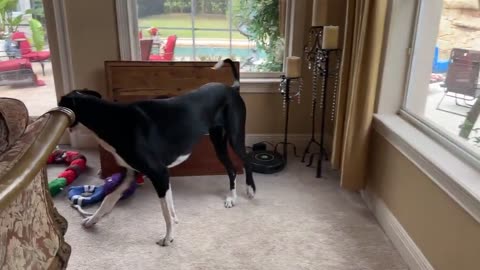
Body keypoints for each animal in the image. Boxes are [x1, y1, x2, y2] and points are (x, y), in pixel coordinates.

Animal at [57, 58, 255, 246]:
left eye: (60, 104)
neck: (111, 119)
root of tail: (232, 88)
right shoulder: (133, 173)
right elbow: (110, 198)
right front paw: (92, 220)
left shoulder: (159, 173)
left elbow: (165, 212)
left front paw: (168, 237)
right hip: (218, 143)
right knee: (231, 169)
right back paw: (232, 198)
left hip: (234, 137)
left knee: (246, 160)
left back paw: (250, 190)